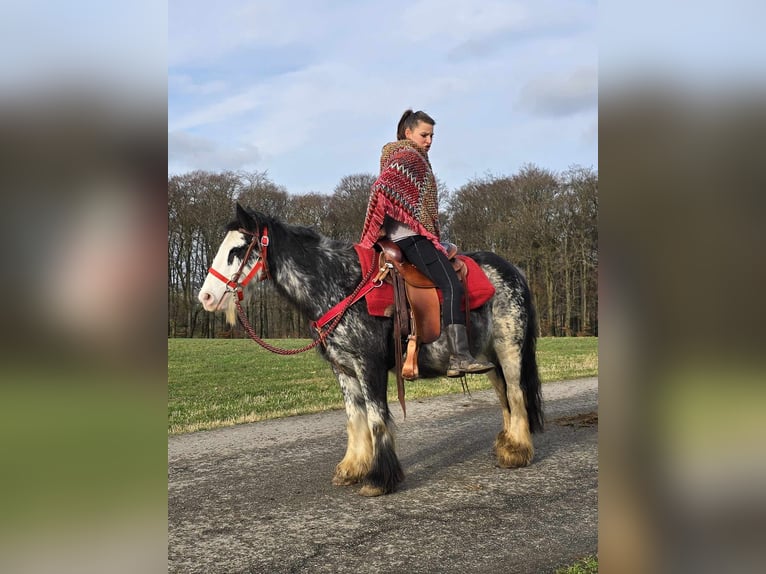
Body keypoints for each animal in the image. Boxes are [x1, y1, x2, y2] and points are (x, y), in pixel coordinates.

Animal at [198, 205, 544, 498]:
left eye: (237, 250)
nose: (206, 297)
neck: (343, 286)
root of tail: (514, 270)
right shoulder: (344, 369)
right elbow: (355, 418)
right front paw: (352, 468)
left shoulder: (369, 366)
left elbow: (377, 419)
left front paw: (379, 478)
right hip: (487, 358)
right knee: (504, 396)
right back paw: (507, 443)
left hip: (509, 349)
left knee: (515, 393)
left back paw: (517, 452)